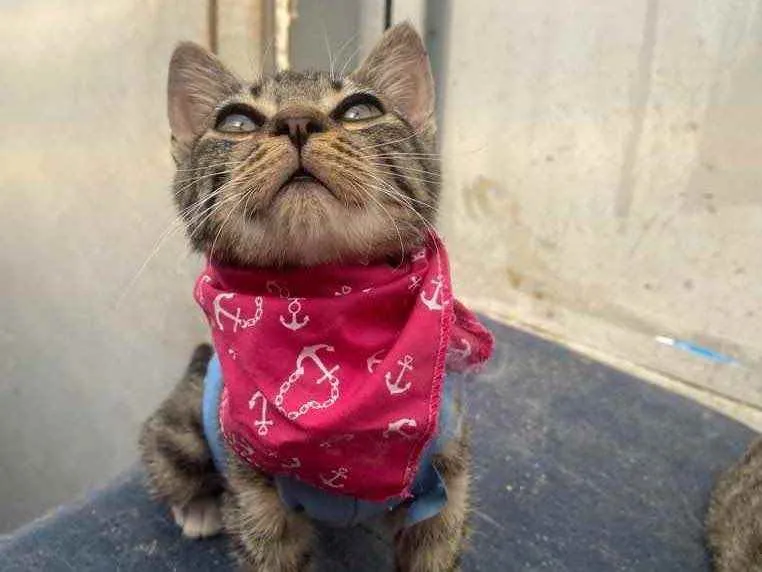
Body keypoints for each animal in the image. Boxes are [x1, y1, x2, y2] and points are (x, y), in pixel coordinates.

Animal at [139, 23, 479, 572]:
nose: (297, 120)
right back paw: (199, 508)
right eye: (235, 121)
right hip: (181, 429)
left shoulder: (446, 488)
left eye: (361, 109)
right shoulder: (257, 502)